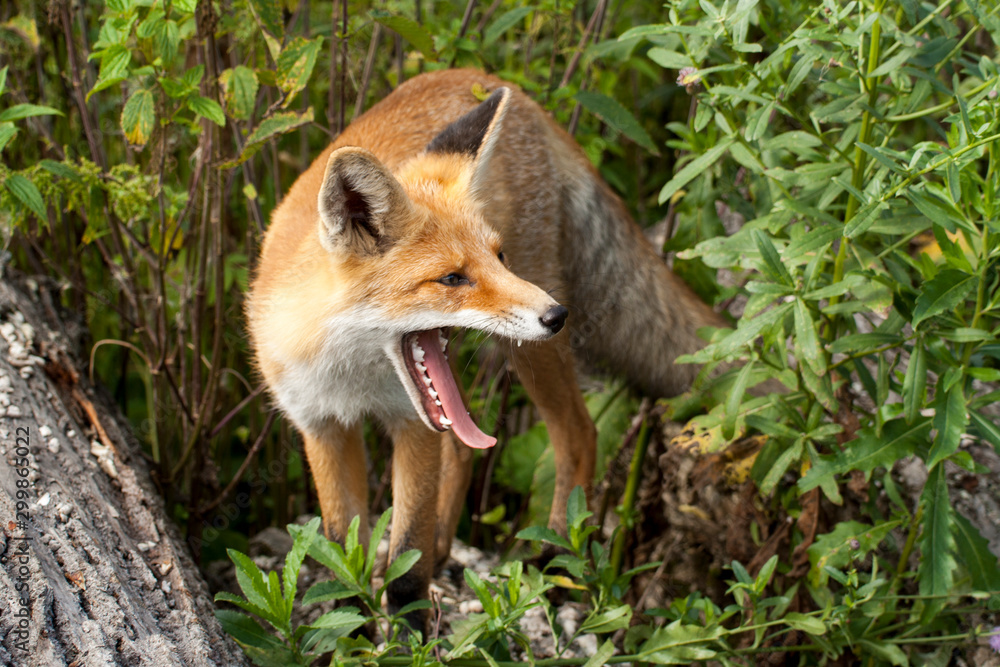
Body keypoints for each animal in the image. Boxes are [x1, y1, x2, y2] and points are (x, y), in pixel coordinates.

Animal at [247, 68, 726, 631]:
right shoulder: (320, 425)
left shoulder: (411, 423)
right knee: (464, 449)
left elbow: (407, 558)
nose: (557, 315)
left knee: (578, 433)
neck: (351, 374)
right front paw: (351, 628)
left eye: (499, 258)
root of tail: (484, 77)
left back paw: (557, 560)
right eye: (453, 278)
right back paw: (449, 549)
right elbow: (344, 550)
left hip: (530, 350)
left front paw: (412, 634)